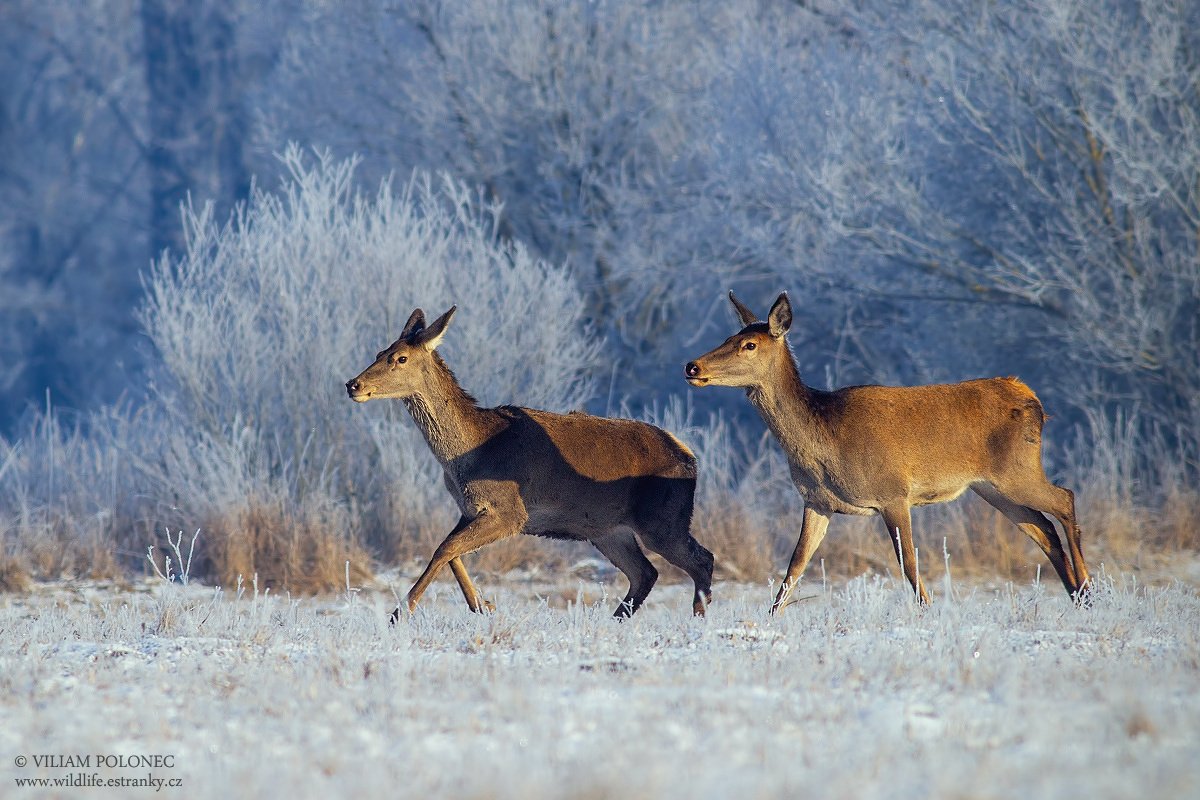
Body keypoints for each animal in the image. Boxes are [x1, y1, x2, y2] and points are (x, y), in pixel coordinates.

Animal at [348, 303, 710, 623]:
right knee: (646, 572)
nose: (353, 384)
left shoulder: (511, 511)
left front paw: (400, 614)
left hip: (662, 518)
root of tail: (690, 458)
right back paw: (616, 620)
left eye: (401, 358)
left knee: (701, 559)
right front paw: (482, 605)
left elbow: (444, 548)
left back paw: (698, 618)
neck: (465, 456)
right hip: (607, 529)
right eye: (379, 352)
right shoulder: (470, 508)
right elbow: (451, 552)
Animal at [686, 292, 1089, 614]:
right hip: (990, 486)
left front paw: (927, 612)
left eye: (750, 345)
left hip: (1017, 470)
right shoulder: (816, 501)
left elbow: (908, 563)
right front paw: (770, 619)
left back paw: (1087, 589)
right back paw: (1076, 595)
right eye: (728, 337)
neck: (822, 438)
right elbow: (794, 567)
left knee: (1064, 499)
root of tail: (1033, 399)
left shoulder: (893, 493)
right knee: (1041, 527)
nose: (692, 366)